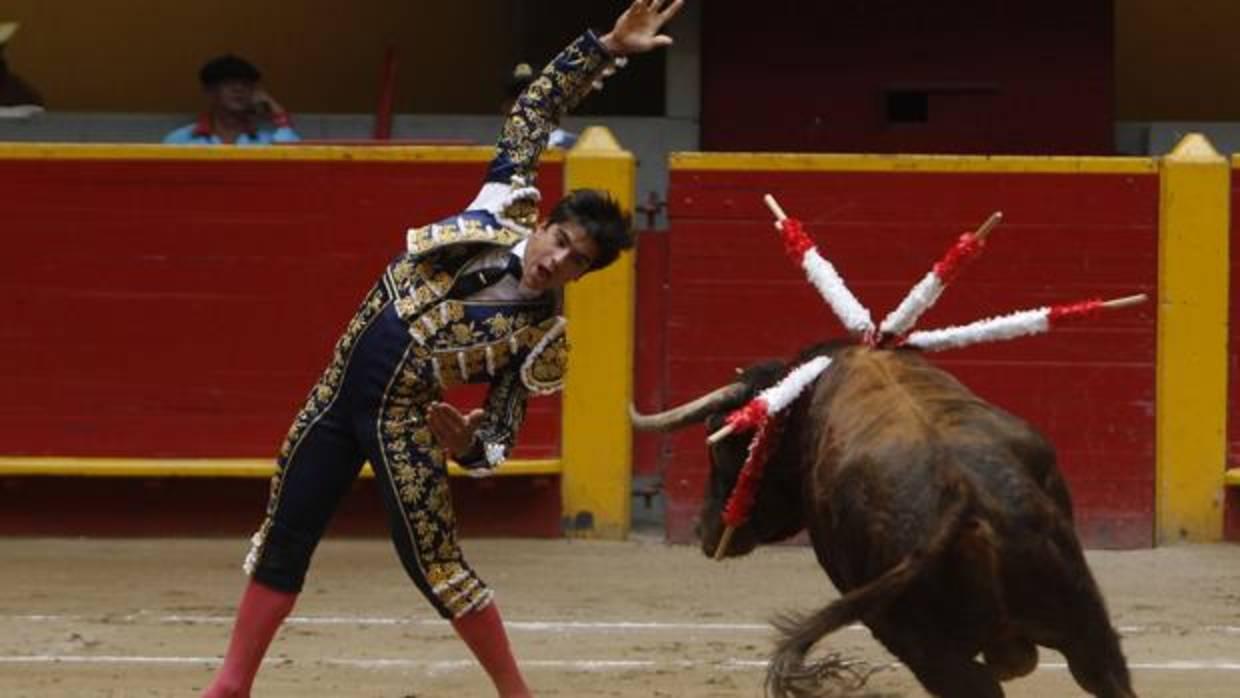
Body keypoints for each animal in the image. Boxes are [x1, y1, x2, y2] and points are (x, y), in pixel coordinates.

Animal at [634, 342, 1135, 698]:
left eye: (720, 444)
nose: (704, 530)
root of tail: (962, 499)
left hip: (926, 648)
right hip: (1086, 623)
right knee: (1105, 676)